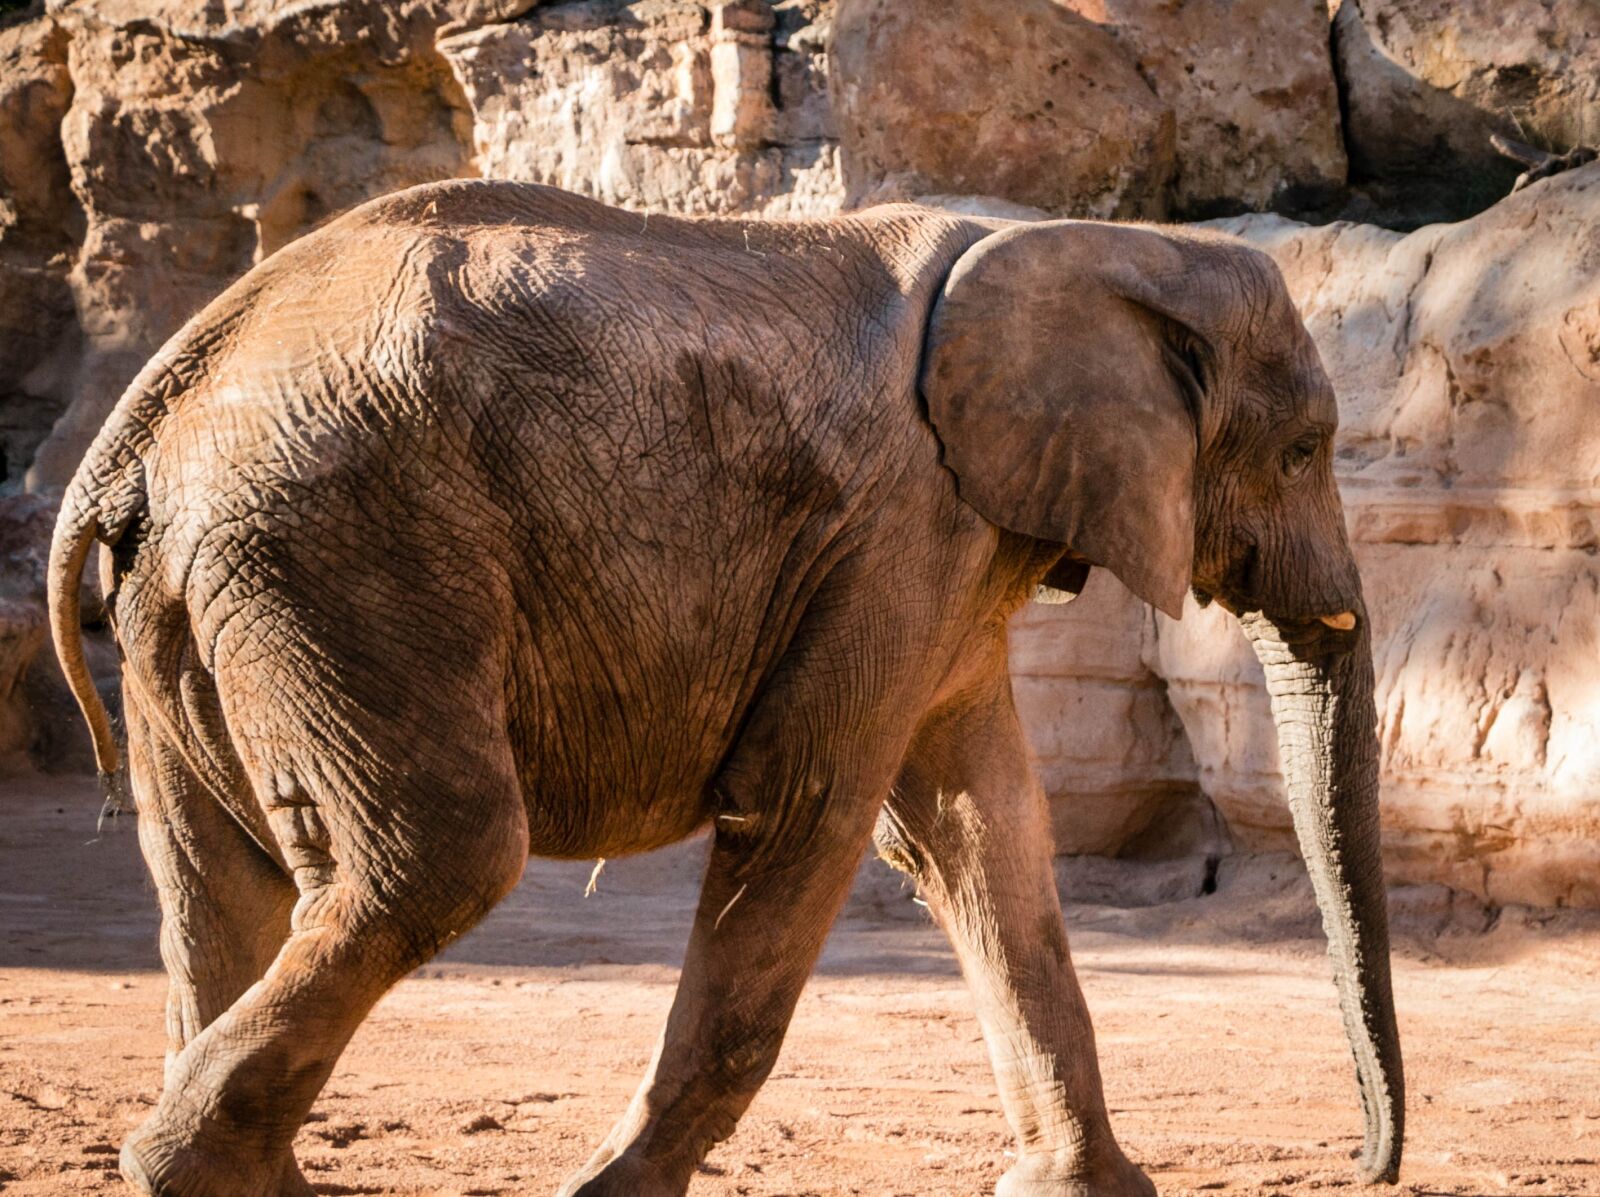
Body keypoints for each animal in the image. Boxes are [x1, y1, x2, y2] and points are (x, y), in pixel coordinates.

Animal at [48, 180, 1402, 1196]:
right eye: (1303, 450)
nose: (1366, 1163)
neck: (1086, 240)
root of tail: (148, 412)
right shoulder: (902, 528)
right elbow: (814, 807)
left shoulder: (948, 548)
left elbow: (985, 832)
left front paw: (1086, 1192)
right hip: (338, 548)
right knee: (439, 854)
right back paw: (175, 1167)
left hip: (209, 587)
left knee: (211, 872)